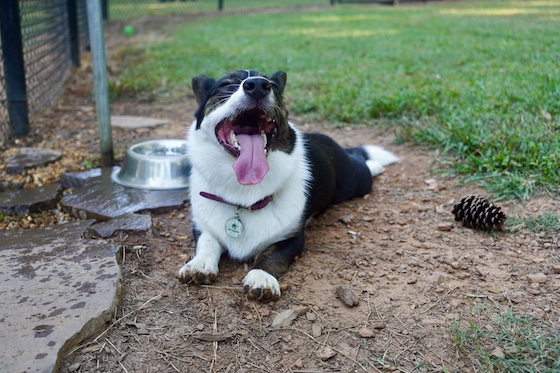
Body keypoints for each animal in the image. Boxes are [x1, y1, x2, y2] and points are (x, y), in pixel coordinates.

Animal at [176, 71, 398, 300]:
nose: (258, 85)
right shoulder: (201, 227)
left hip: (357, 180)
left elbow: (269, 255)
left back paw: (374, 164)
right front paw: (199, 265)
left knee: (361, 161)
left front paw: (261, 278)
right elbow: (208, 243)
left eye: (272, 85)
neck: (244, 194)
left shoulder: (291, 239)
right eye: (226, 84)